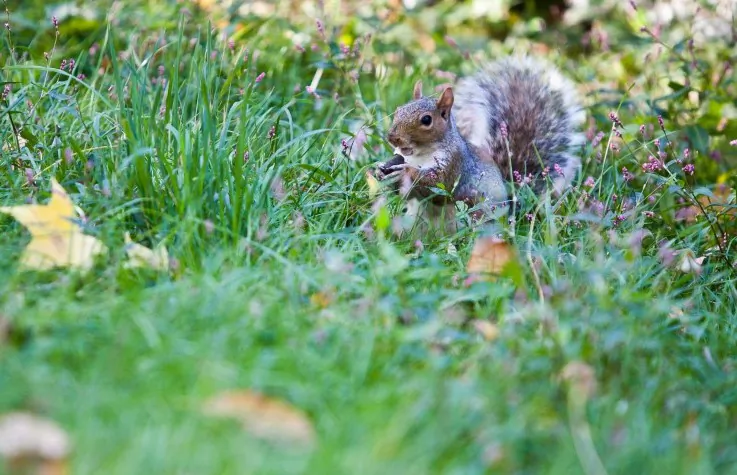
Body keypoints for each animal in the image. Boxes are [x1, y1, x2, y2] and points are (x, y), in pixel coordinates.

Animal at [375, 55, 585, 231]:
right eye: (399, 109)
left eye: (426, 120)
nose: (392, 137)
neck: (419, 154)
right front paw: (380, 170)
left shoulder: (454, 164)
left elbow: (438, 184)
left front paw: (404, 172)